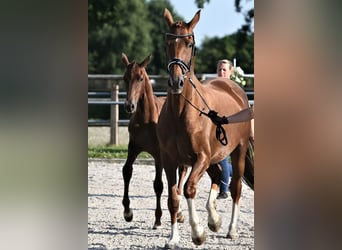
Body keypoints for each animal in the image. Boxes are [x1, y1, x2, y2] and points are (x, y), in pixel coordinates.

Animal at [121, 53, 188, 229]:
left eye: (140, 78)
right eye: (125, 78)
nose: (129, 106)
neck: (145, 119)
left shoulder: (159, 155)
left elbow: (158, 185)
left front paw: (157, 219)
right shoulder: (133, 147)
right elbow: (127, 171)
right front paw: (127, 212)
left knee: (182, 173)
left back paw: (179, 212)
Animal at [158, 8, 254, 247]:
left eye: (190, 43)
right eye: (167, 43)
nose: (176, 82)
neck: (182, 113)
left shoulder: (200, 157)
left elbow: (189, 189)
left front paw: (197, 233)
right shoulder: (169, 160)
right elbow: (173, 197)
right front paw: (173, 238)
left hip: (237, 152)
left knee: (235, 188)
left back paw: (231, 229)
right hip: (214, 158)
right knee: (217, 178)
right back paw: (214, 220)